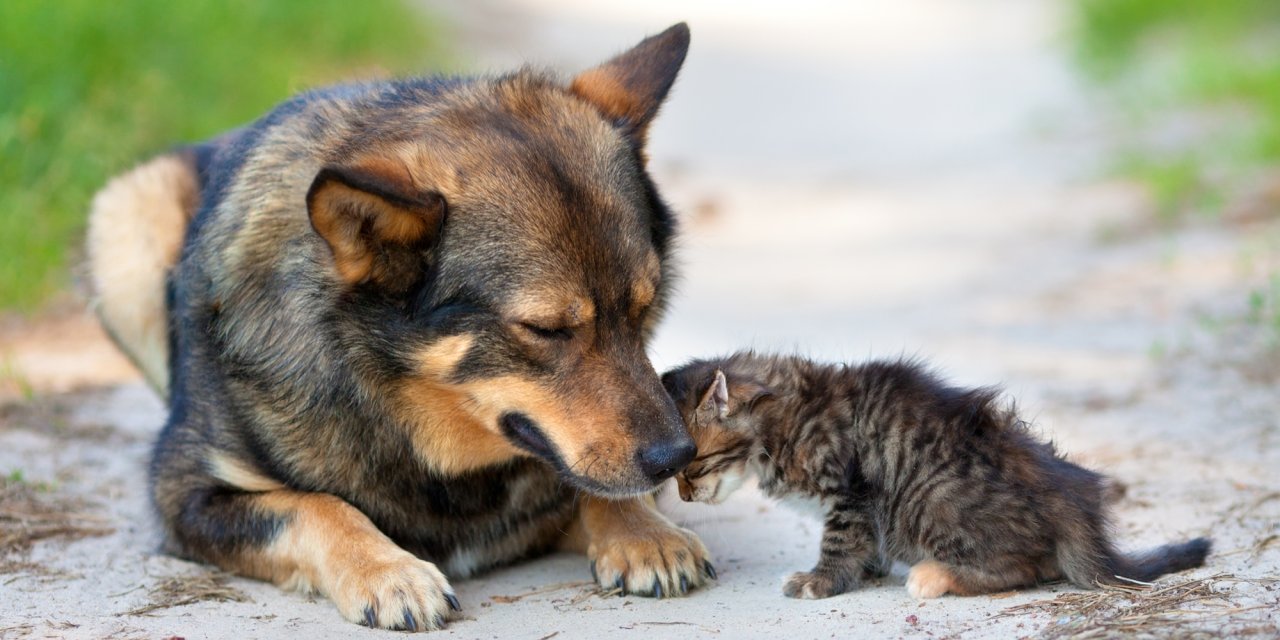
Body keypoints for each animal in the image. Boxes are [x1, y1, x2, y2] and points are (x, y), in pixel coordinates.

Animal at [88, 23, 711, 629]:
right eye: (545, 330)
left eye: (643, 309)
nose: (677, 457)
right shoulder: (186, 494)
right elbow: (314, 505)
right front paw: (388, 571)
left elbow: (591, 485)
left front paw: (645, 534)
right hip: (126, 215)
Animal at [660, 355, 1208, 599]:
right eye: (673, 476)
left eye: (692, 467)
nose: (684, 499)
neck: (783, 417)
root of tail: (1074, 501)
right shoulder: (861, 506)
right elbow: (865, 544)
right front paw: (868, 570)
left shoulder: (850, 492)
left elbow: (839, 542)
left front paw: (820, 581)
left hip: (930, 499)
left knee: (1029, 566)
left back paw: (934, 575)